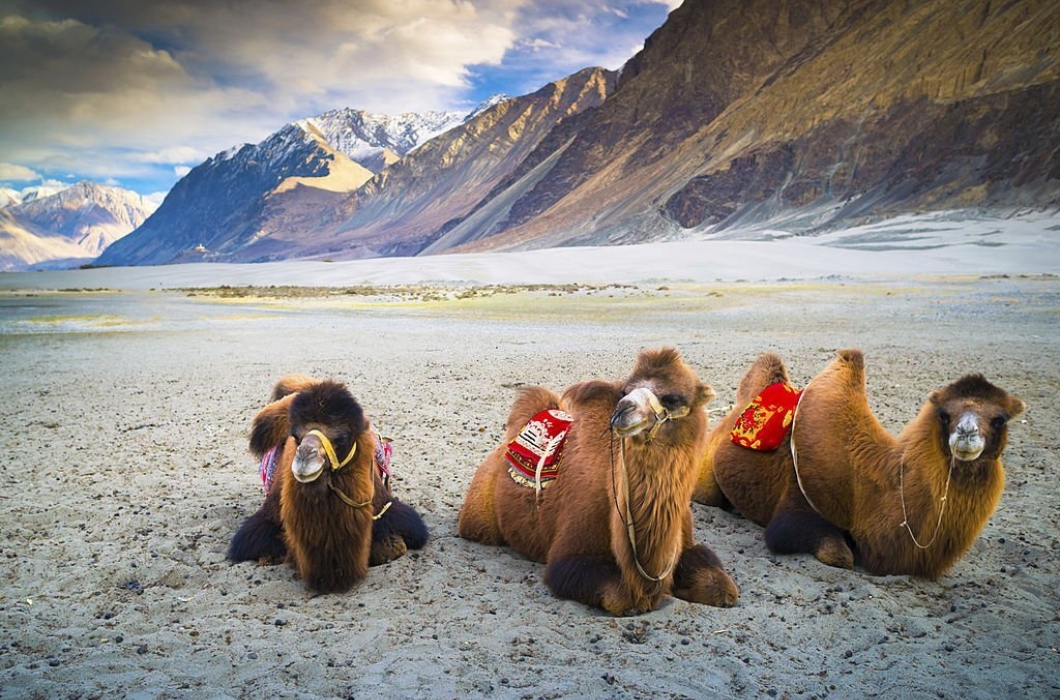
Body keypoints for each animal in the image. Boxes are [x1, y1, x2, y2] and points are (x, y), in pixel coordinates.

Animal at [455, 347, 737, 615]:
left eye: (673, 398)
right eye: (625, 390)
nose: (623, 409)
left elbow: (722, 585)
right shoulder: (572, 553)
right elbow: (618, 594)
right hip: (480, 515)